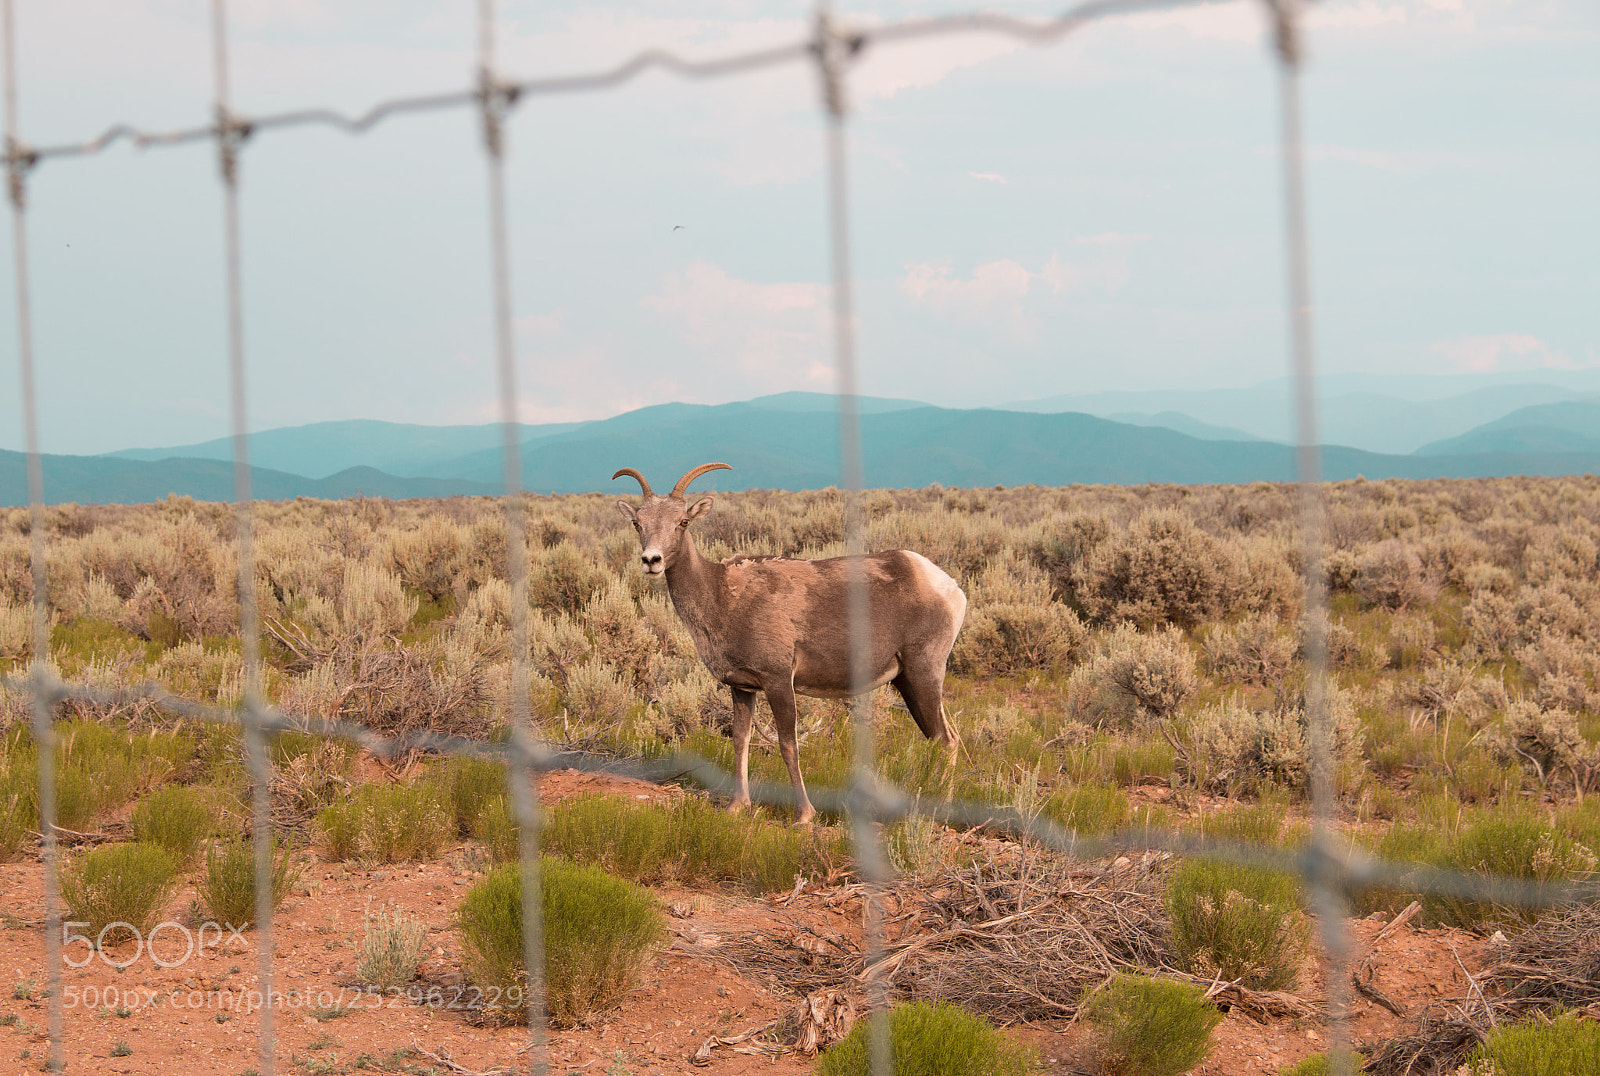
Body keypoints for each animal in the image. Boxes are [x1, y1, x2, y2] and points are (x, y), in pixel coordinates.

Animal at [613, 462, 966, 824]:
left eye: (682, 522)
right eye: (637, 523)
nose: (651, 560)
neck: (724, 597)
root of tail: (948, 586)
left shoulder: (779, 680)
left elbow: (787, 744)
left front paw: (804, 815)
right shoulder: (742, 687)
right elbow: (741, 740)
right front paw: (737, 806)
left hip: (924, 673)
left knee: (946, 740)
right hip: (906, 681)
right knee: (942, 738)